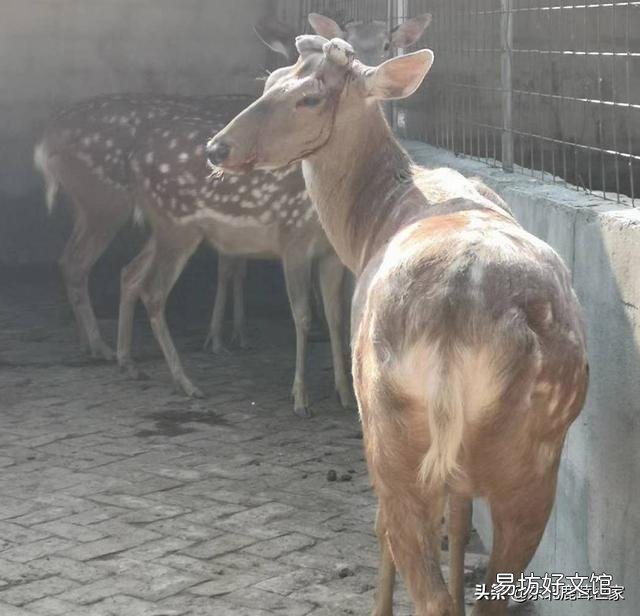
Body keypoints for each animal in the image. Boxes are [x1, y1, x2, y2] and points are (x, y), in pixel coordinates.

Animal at [207, 35, 589, 615]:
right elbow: (459, 517)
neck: (368, 222)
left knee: (408, 552)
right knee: (492, 588)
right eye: (270, 79)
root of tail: (457, 316)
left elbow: (381, 527)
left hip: (390, 424)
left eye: (309, 98)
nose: (217, 148)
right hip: (543, 446)